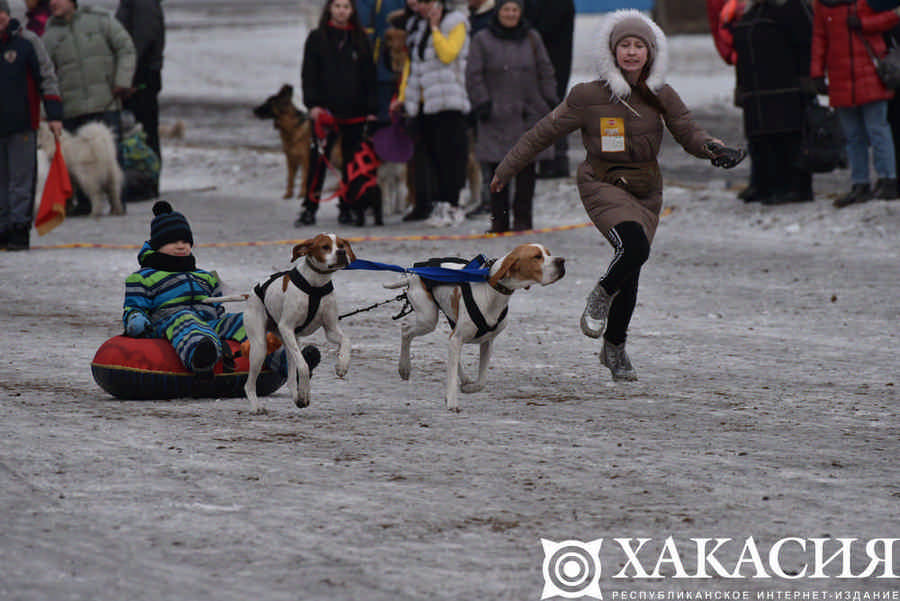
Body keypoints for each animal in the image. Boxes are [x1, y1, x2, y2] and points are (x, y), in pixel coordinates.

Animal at [246, 233, 358, 412]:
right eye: (325, 247)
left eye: (341, 245)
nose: (341, 252)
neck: (315, 285)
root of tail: (251, 293)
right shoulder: (286, 327)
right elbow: (304, 366)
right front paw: (305, 393)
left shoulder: (331, 329)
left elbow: (346, 341)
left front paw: (342, 364)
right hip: (260, 347)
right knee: (249, 384)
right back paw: (257, 406)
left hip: (290, 343)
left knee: (291, 378)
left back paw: (297, 396)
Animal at [384, 241, 564, 410]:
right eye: (537, 257)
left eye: (548, 253)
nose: (562, 261)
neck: (492, 291)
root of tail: (414, 274)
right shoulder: (458, 337)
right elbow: (452, 375)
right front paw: (452, 402)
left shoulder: (486, 342)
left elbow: (481, 381)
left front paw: (469, 388)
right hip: (428, 319)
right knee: (405, 329)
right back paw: (404, 367)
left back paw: (463, 379)